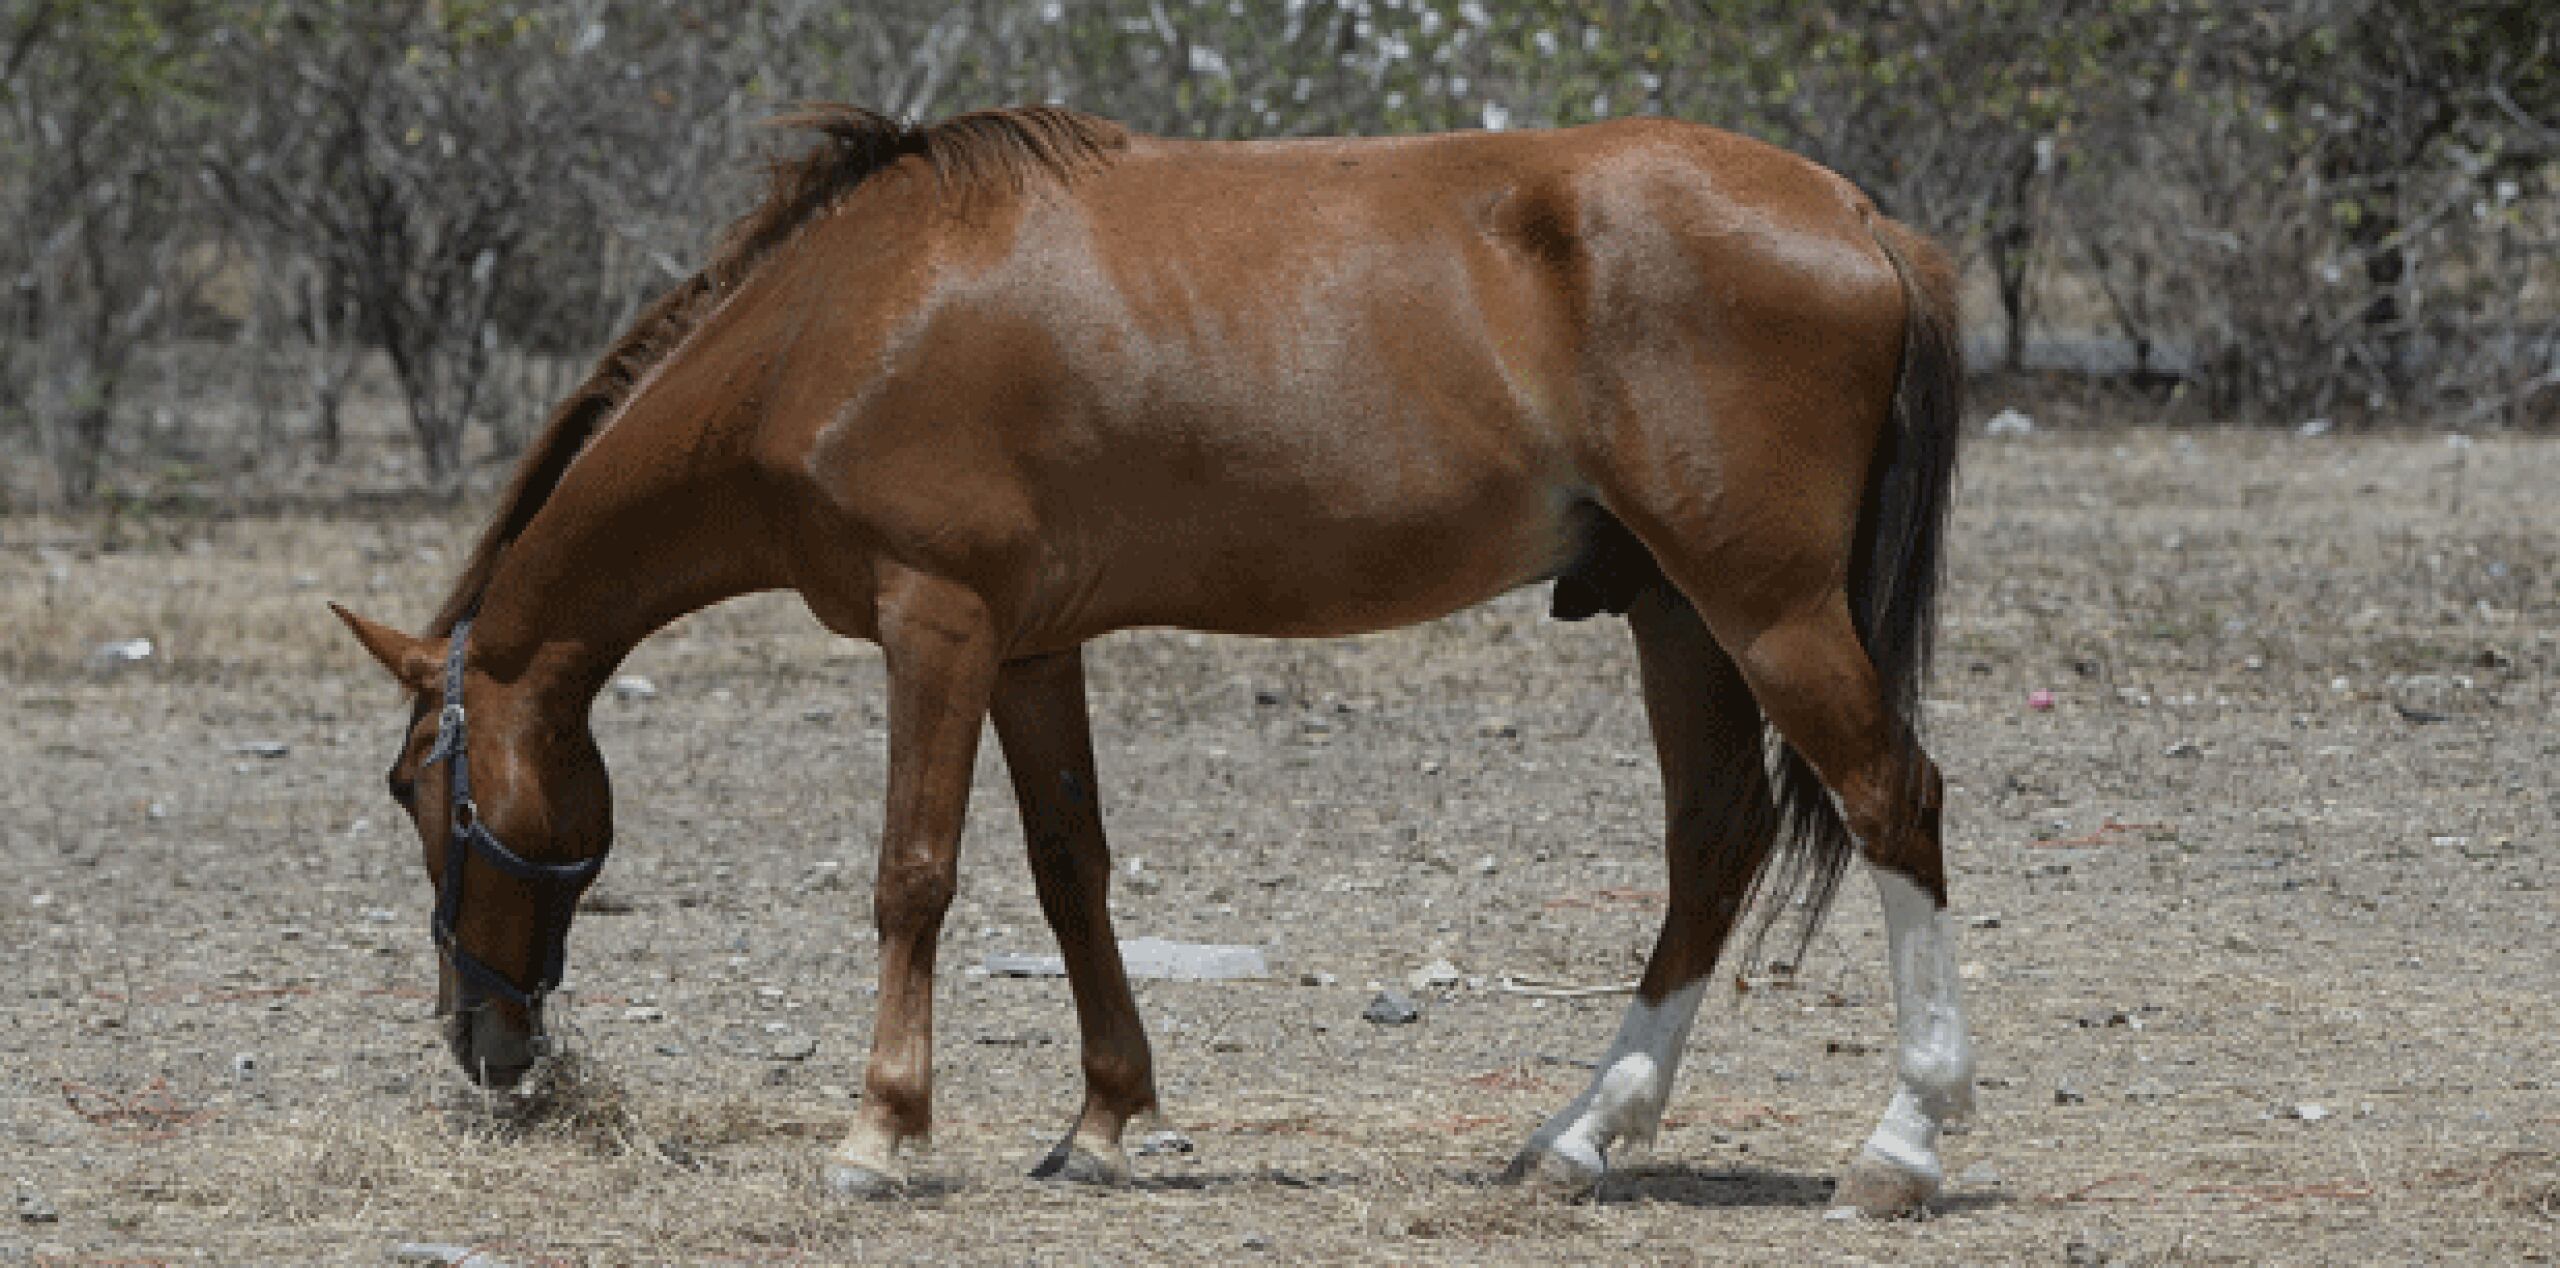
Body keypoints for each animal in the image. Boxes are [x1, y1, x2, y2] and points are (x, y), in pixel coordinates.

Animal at [335, 106, 1976, 1219]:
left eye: (421, 788)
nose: (483, 1043)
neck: (842, 317)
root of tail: (1861, 216)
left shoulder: (937, 623)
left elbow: (913, 875)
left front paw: (879, 1133)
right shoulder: (1028, 645)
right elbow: (1072, 871)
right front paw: (1106, 1119)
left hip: (1761, 605)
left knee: (1892, 800)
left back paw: (1898, 1144)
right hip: (1672, 613)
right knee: (1714, 841)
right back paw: (1578, 1134)